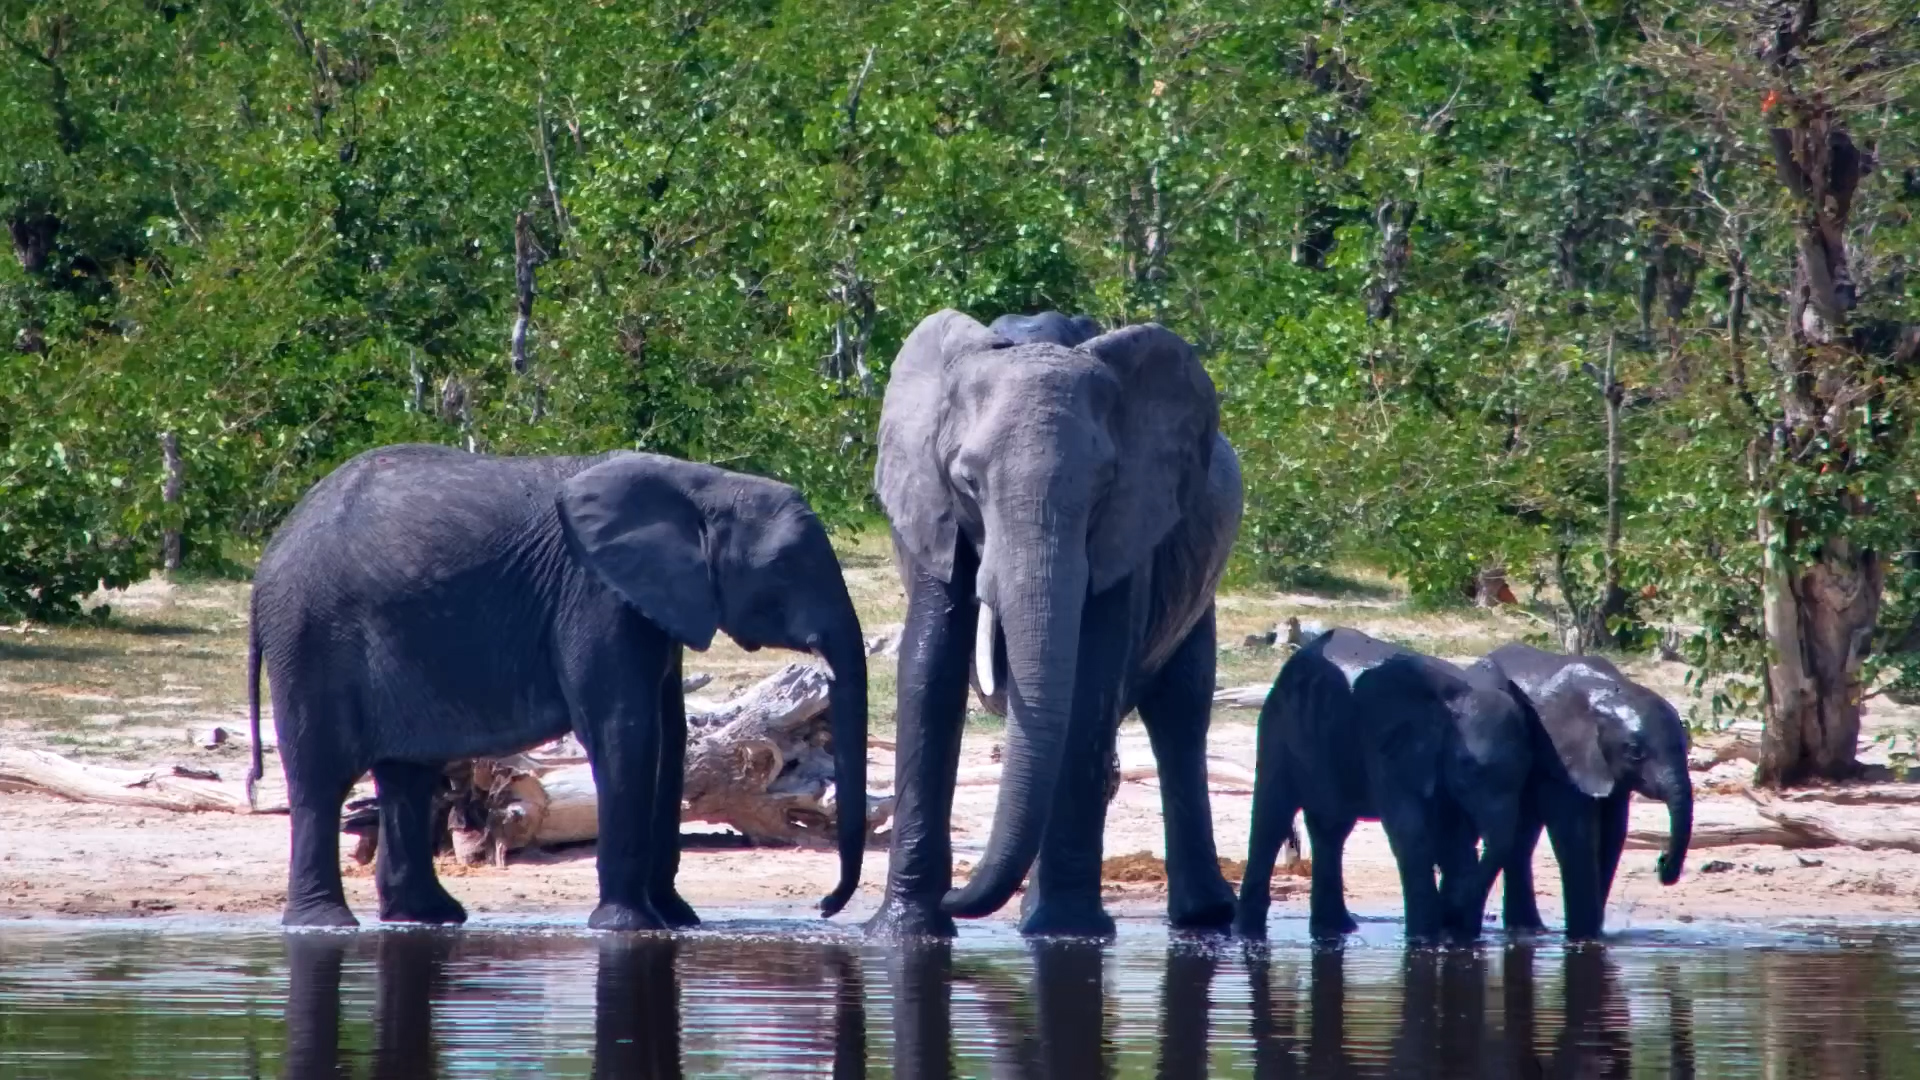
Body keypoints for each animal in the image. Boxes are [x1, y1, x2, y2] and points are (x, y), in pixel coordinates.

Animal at [245, 444, 868, 931]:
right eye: (786, 567)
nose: (823, 906)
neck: (702, 482)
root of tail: (268, 560)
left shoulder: (653, 603)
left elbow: (670, 733)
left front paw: (678, 921)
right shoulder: (595, 595)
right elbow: (625, 730)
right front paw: (629, 927)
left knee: (407, 775)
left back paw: (429, 916)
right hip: (311, 637)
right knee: (321, 780)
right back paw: (325, 924)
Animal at [870, 308, 1242, 938]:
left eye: (1104, 485)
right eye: (968, 481)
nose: (956, 892)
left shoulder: (1130, 526)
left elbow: (1090, 680)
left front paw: (1065, 934)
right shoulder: (930, 512)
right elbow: (928, 669)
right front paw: (905, 933)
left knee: (1181, 710)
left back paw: (1203, 919)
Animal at [1234, 628, 1534, 942]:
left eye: (1528, 768)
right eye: (1468, 766)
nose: (1454, 918)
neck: (1454, 699)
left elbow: (1455, 839)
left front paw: (1452, 935)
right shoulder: (1387, 748)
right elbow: (1411, 833)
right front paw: (1423, 939)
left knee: (1331, 829)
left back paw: (1335, 931)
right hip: (1278, 726)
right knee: (1272, 818)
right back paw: (1249, 935)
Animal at [1475, 643, 1694, 939]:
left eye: (1686, 747)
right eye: (1635, 752)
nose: (1661, 862)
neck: (1608, 696)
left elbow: (1613, 834)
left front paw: (1593, 936)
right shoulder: (1560, 757)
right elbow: (1577, 834)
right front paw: (1585, 938)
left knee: (1522, 837)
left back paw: (1529, 930)